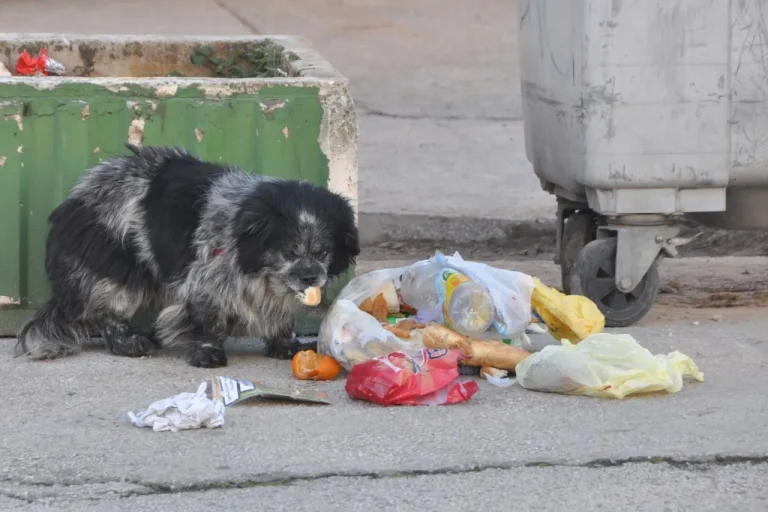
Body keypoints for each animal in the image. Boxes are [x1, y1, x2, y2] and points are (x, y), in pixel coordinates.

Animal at [12, 144, 360, 368]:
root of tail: (72, 204)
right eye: (289, 251)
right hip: (121, 268)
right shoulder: (207, 279)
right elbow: (209, 321)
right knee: (106, 309)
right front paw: (207, 354)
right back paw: (127, 342)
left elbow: (280, 318)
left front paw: (284, 346)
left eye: (323, 252)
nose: (310, 276)